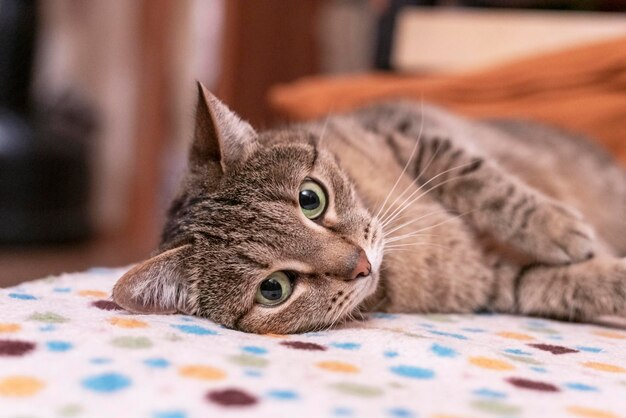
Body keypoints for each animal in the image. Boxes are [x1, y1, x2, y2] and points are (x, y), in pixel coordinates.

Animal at [112, 82, 624, 334]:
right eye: (274, 289)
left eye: (311, 199)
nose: (361, 265)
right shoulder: (497, 283)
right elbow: (563, 284)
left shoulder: (412, 138)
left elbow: (484, 183)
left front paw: (558, 228)